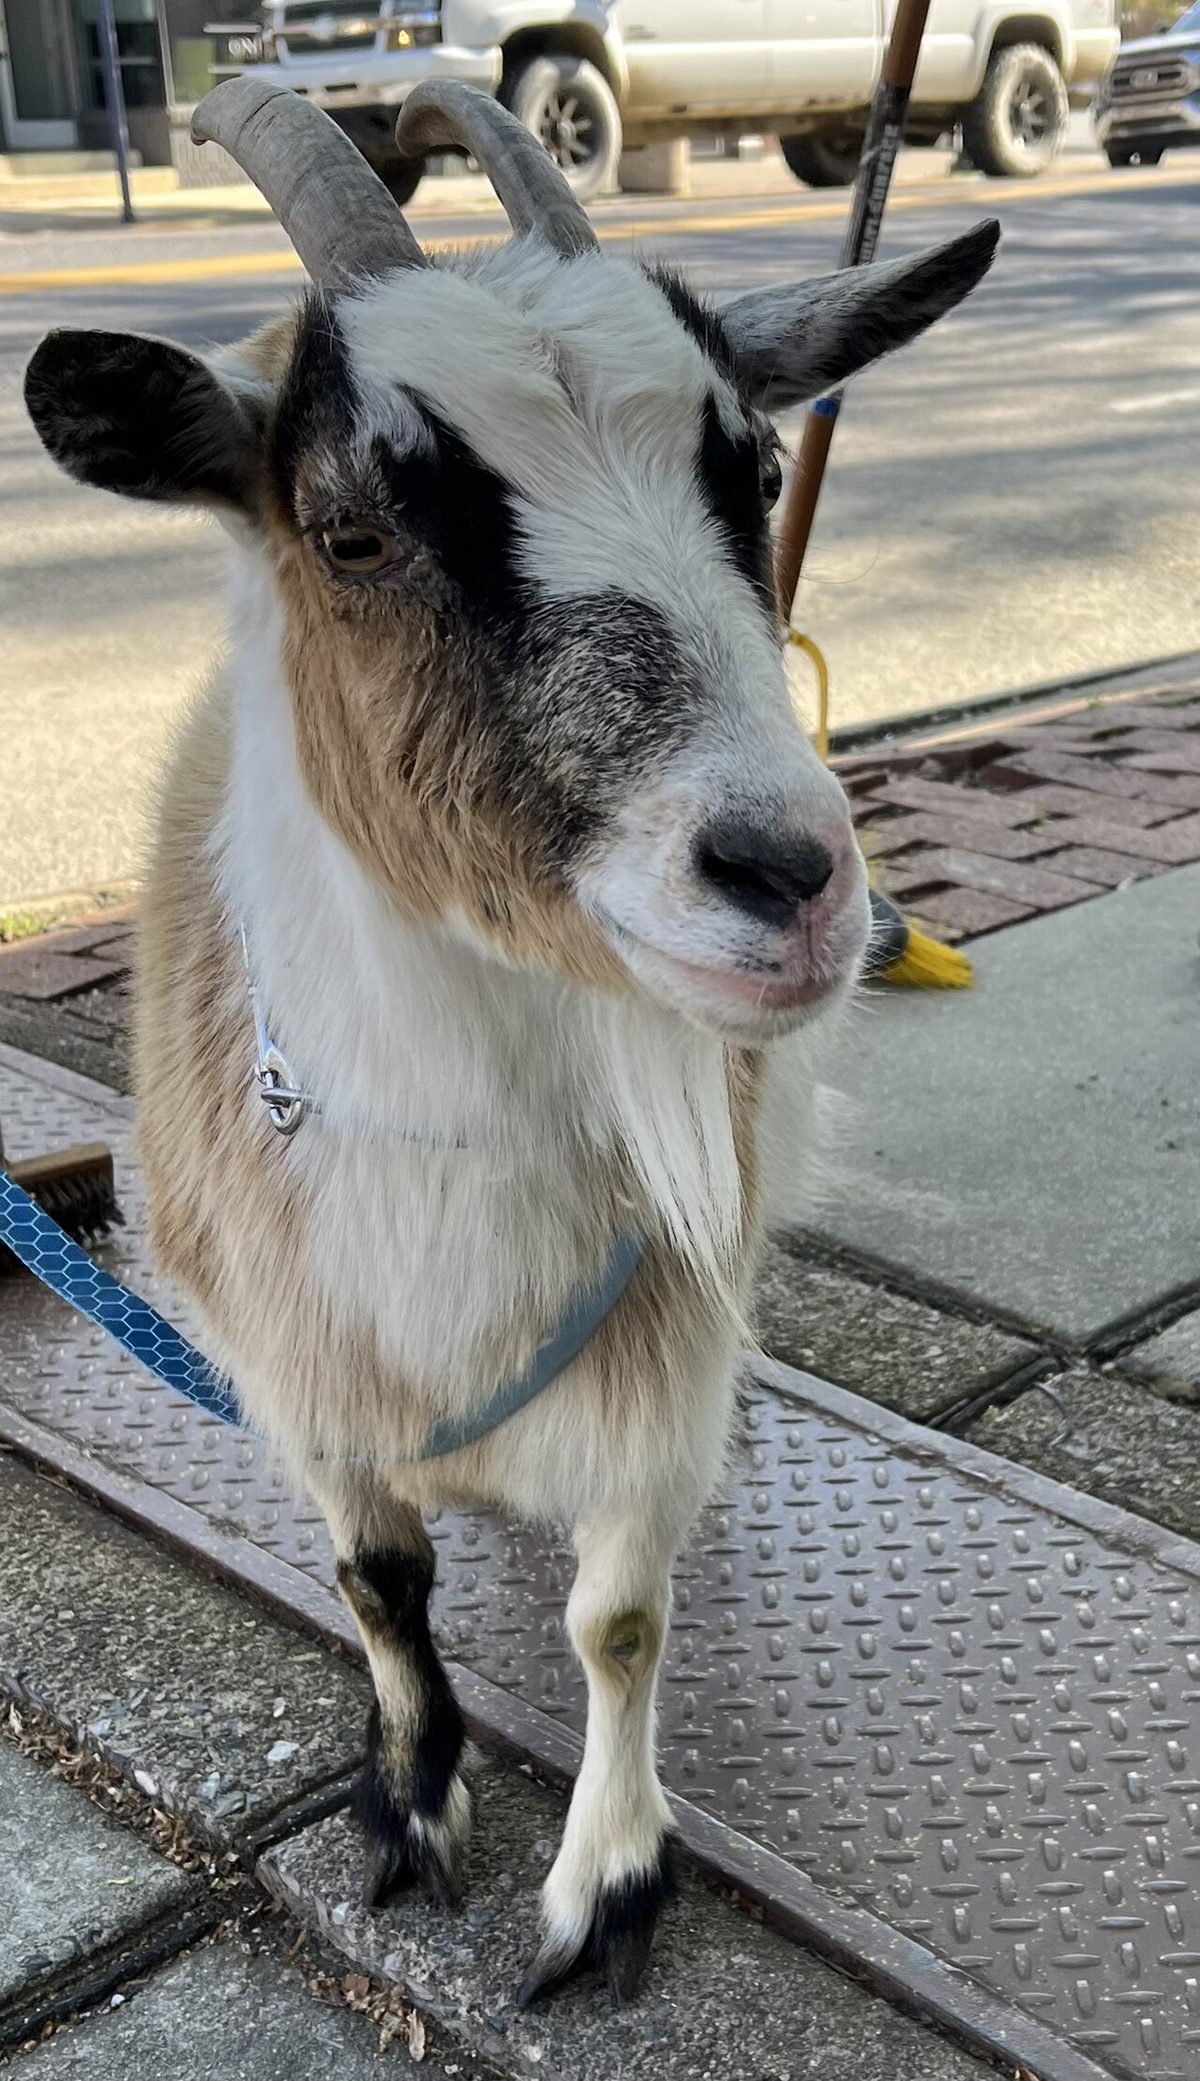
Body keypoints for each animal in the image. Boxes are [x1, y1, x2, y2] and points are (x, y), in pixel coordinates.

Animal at [24, 78, 997, 2005]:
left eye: (750, 470)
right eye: (351, 528)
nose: (792, 877)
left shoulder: (656, 1356)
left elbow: (615, 1614)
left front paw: (604, 1884)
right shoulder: (300, 1369)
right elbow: (377, 1591)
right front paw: (409, 1805)